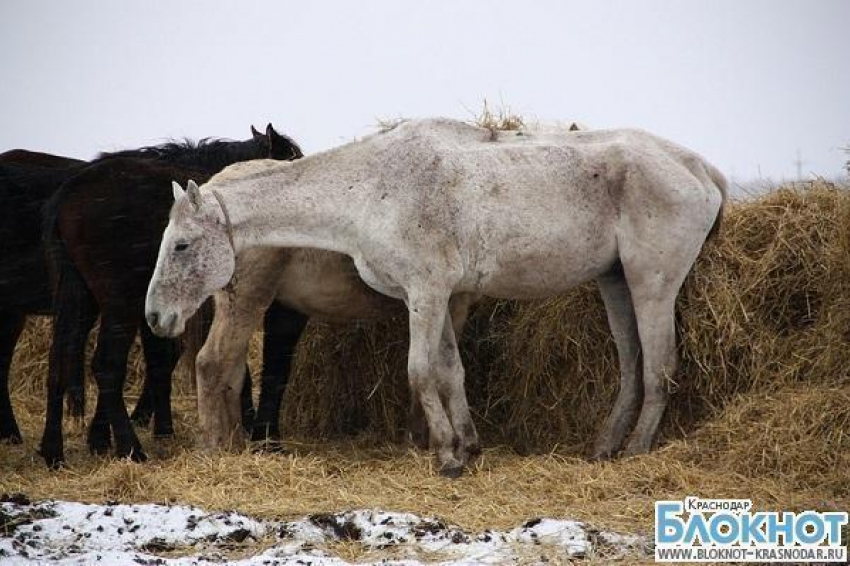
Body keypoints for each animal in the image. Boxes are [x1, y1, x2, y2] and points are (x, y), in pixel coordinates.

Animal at [39, 126, 304, 468]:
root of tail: (70, 192)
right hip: (119, 306)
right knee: (106, 365)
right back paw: (130, 447)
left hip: (83, 302)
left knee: (58, 362)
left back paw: (53, 450)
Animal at [144, 120, 724, 480]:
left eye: (182, 245)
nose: (154, 317)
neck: (371, 187)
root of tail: (697, 167)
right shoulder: (438, 298)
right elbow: (449, 371)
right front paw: (465, 445)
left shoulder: (426, 293)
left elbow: (421, 372)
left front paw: (446, 456)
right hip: (616, 283)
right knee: (631, 367)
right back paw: (605, 447)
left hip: (651, 283)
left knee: (659, 368)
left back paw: (637, 449)